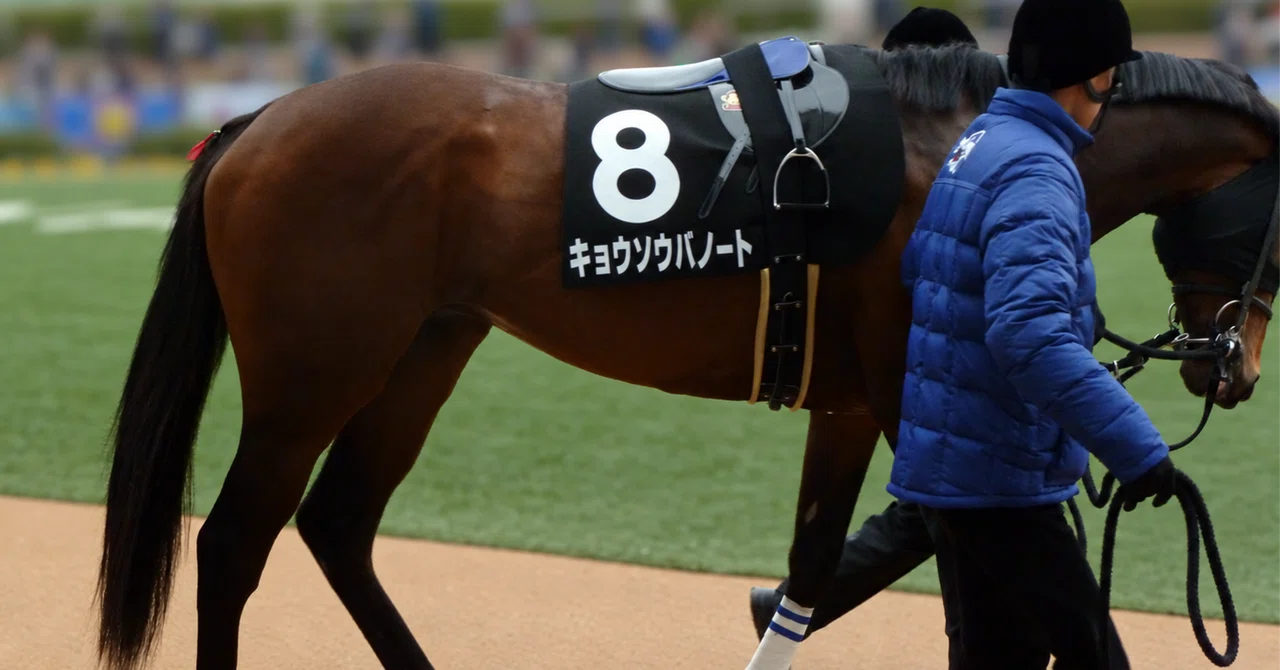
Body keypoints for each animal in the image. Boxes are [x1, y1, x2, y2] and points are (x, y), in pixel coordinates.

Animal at [92, 42, 1280, 670]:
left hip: (426, 349)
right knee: (233, 542)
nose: (1231, 368)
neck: (947, 143)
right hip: (311, 377)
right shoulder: (918, 398)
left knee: (337, 525)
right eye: (1276, 232)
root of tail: (257, 122)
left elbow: (819, 565)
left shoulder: (855, 404)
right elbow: (985, 575)